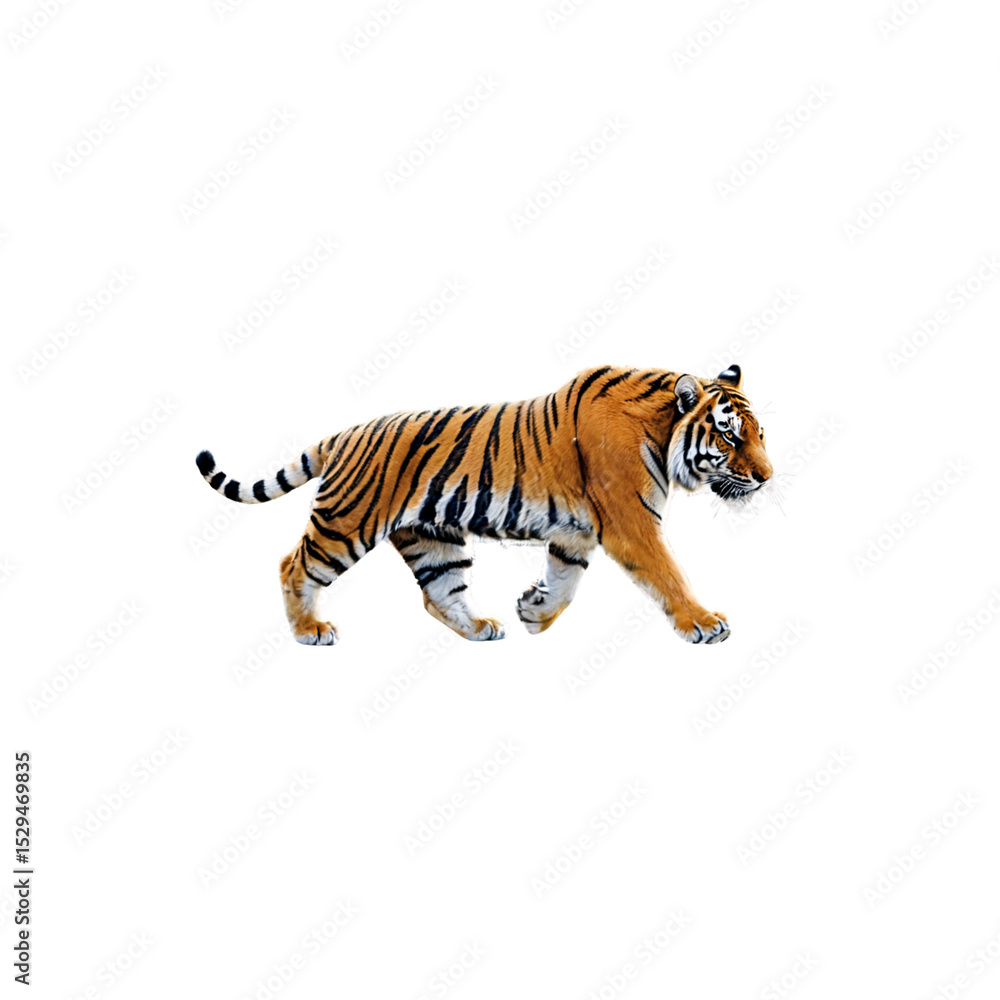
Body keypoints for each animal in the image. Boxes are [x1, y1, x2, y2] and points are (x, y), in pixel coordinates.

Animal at [195, 364, 773, 647]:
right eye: (729, 436)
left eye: (760, 435)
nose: (768, 478)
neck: (662, 430)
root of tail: (345, 434)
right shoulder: (631, 522)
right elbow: (669, 574)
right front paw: (704, 623)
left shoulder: (575, 532)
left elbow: (565, 581)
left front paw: (533, 612)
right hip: (347, 522)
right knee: (292, 564)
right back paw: (308, 632)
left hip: (433, 538)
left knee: (439, 593)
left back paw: (479, 629)